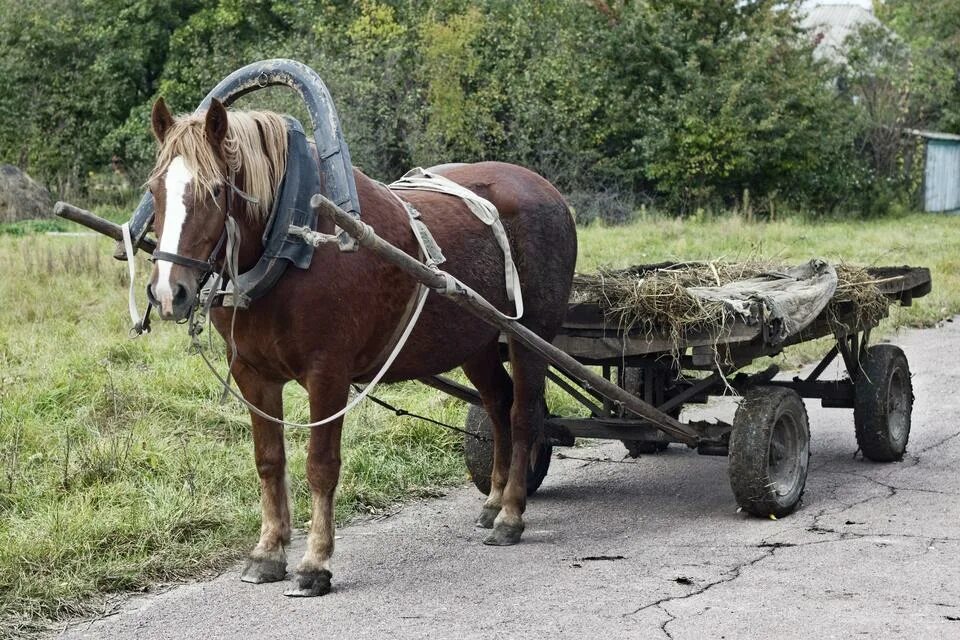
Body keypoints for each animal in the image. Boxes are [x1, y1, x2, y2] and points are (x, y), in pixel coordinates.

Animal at [143, 97, 576, 596]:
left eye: (215, 190)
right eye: (155, 189)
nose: (168, 292)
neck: (295, 241)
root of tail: (547, 190)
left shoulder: (327, 374)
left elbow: (320, 465)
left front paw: (314, 562)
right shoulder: (254, 375)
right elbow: (269, 461)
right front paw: (268, 552)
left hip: (532, 337)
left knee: (523, 415)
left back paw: (510, 515)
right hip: (478, 342)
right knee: (499, 405)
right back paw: (493, 502)